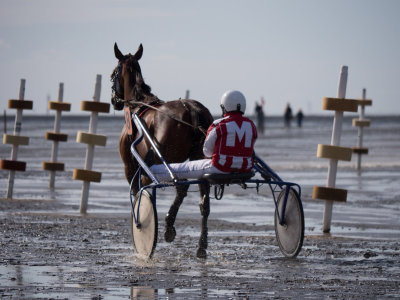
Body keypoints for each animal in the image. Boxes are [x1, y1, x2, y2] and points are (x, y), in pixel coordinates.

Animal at [111, 42, 214, 258]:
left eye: (113, 73)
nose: (114, 101)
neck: (138, 104)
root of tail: (191, 109)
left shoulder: (130, 167)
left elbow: (138, 195)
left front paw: (140, 228)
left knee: (178, 187)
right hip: (198, 158)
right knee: (202, 201)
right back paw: (199, 244)